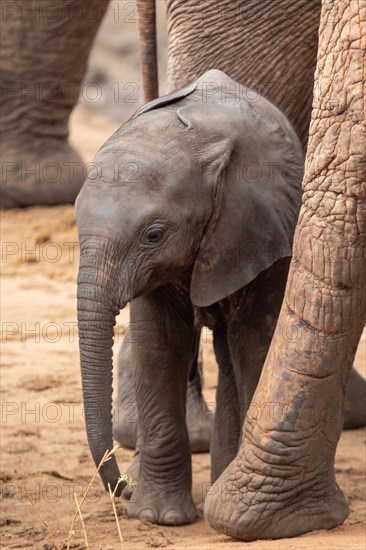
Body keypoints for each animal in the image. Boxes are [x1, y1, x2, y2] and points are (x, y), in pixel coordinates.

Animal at [76, 69, 304, 528]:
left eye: (154, 235)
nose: (121, 489)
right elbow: (158, 347)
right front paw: (158, 517)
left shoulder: (264, 229)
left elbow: (256, 343)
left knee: (233, 353)